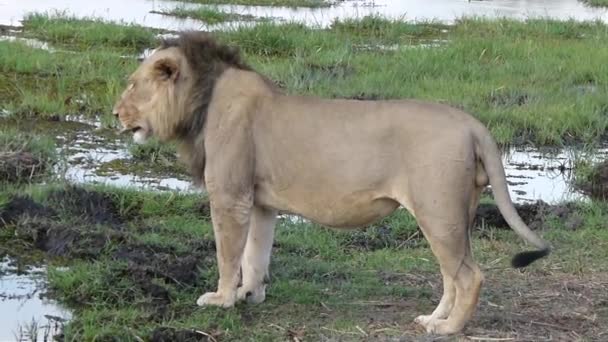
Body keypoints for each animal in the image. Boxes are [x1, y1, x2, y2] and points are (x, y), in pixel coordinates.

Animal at [110, 32, 552, 334]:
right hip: (453, 215)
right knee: (452, 274)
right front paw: (250, 294)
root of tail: (473, 124)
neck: (201, 102)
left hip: (438, 211)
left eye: (132, 84)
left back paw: (448, 329)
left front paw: (220, 299)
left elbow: (228, 253)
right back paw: (431, 318)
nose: (115, 114)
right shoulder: (260, 202)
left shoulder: (230, 196)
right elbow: (255, 253)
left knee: (469, 275)